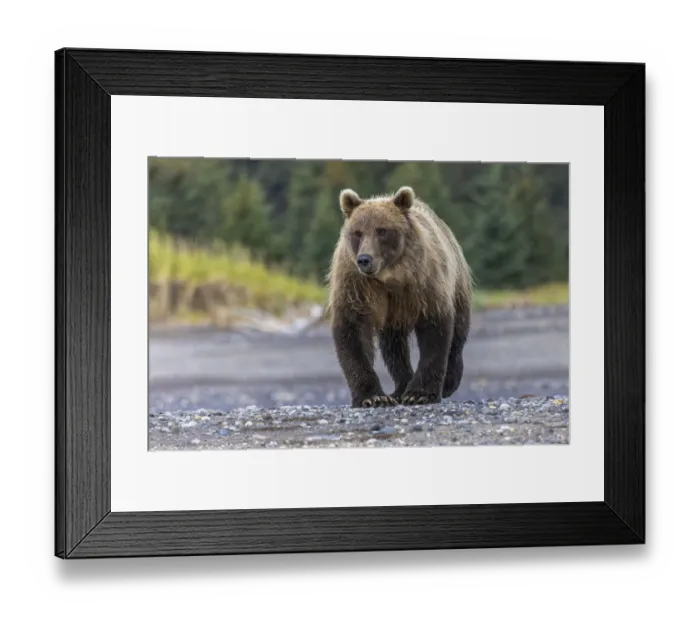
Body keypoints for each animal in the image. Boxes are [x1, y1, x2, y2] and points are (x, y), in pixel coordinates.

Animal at [327, 186, 473, 408]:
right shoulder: (356, 285)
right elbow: (353, 330)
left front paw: (420, 394)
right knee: (394, 348)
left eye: (382, 230)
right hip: (393, 318)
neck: (389, 277)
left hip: (458, 283)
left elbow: (435, 332)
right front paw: (372, 396)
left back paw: (449, 381)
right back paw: (400, 388)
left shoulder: (425, 284)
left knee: (458, 334)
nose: (364, 259)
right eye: (357, 232)